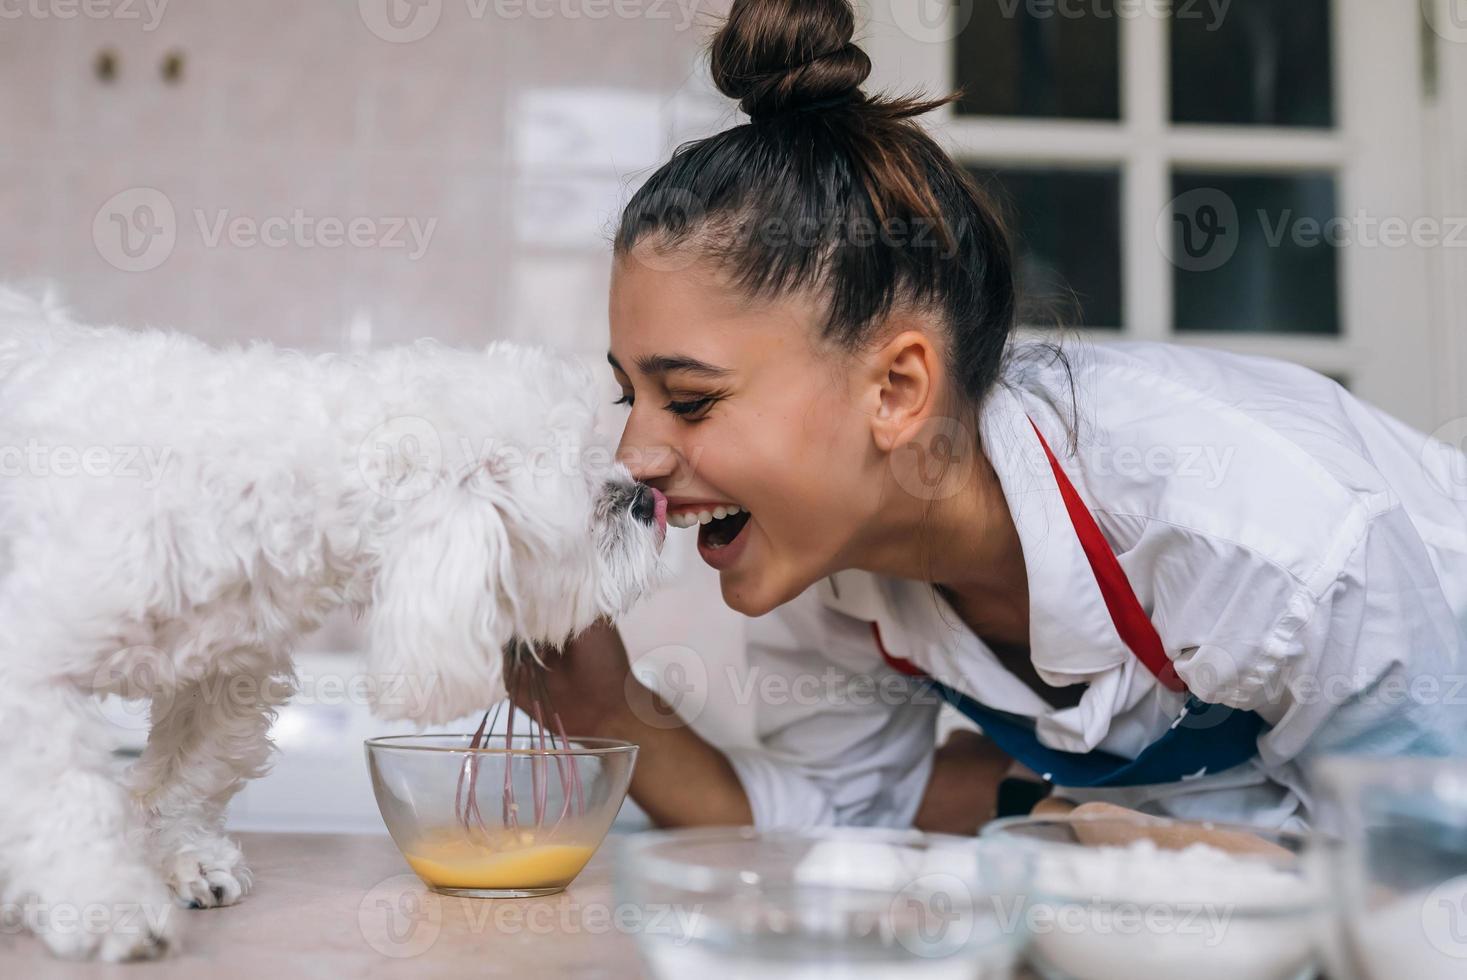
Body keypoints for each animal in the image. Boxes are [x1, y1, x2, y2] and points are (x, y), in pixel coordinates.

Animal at [0, 287, 666, 962]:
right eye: (587, 498)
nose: (647, 500)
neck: (266, 484)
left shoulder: (225, 679)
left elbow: (185, 779)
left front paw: (185, 860)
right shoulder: (28, 669)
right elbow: (64, 796)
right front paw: (105, 902)